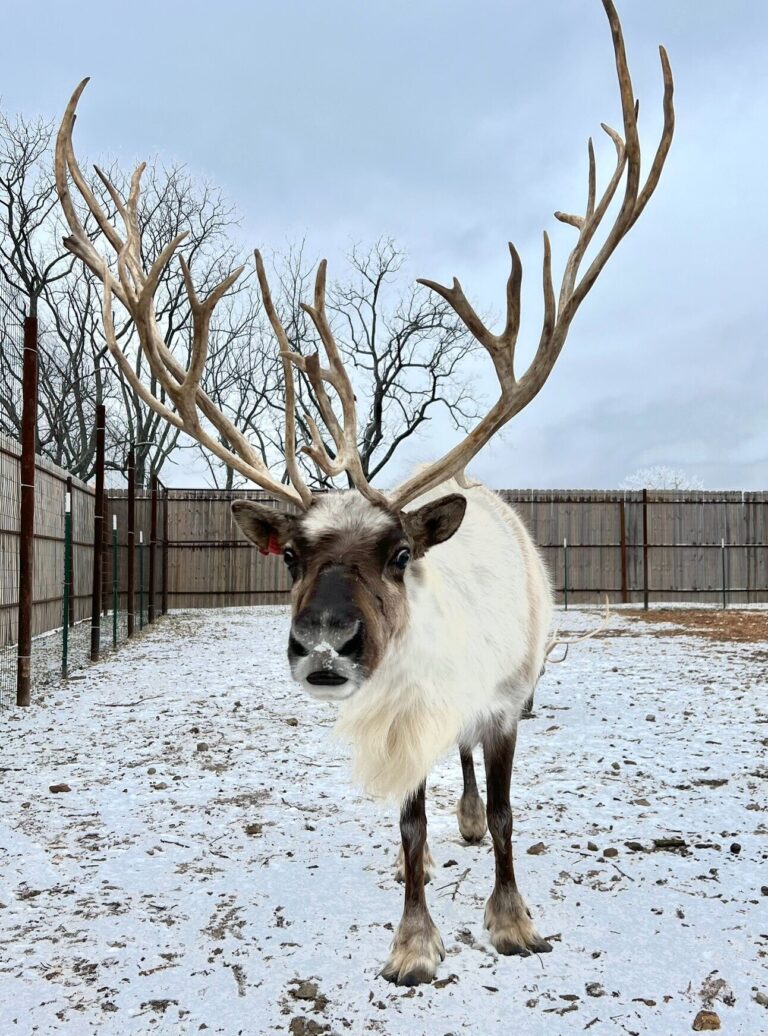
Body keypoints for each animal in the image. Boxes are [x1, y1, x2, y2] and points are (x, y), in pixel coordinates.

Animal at [55, 0, 673, 987]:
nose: (323, 643)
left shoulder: (504, 701)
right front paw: (415, 941)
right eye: (292, 556)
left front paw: (512, 921)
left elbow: (509, 813)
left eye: (399, 550)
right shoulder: (403, 716)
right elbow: (411, 828)